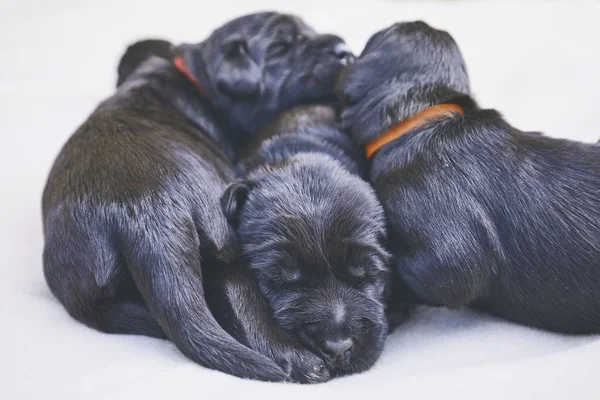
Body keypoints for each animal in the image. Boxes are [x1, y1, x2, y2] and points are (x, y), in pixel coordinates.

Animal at [42, 12, 352, 382]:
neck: (197, 81)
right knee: (239, 294)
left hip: (89, 293)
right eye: (280, 47)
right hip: (224, 238)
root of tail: (146, 214)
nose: (345, 50)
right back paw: (300, 359)